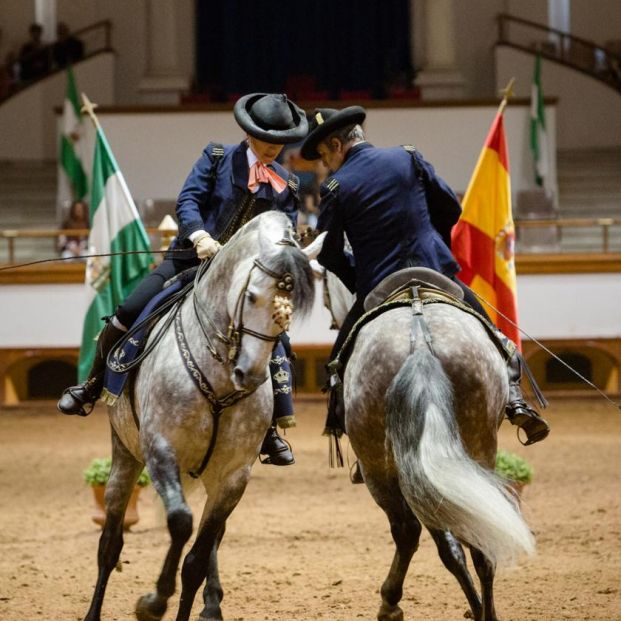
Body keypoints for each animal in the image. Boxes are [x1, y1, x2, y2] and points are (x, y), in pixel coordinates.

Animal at [81, 211, 312, 616]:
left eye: (288, 310)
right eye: (251, 296)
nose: (250, 375)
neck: (217, 377)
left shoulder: (234, 475)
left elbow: (197, 560)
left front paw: (174, 601)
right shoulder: (160, 450)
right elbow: (179, 522)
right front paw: (154, 601)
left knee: (212, 540)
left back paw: (211, 604)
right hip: (125, 455)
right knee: (109, 545)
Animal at [308, 234, 532, 620]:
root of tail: (420, 345)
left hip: (381, 468)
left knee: (410, 531)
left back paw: (391, 603)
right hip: (474, 448)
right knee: (478, 541)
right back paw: (484, 611)